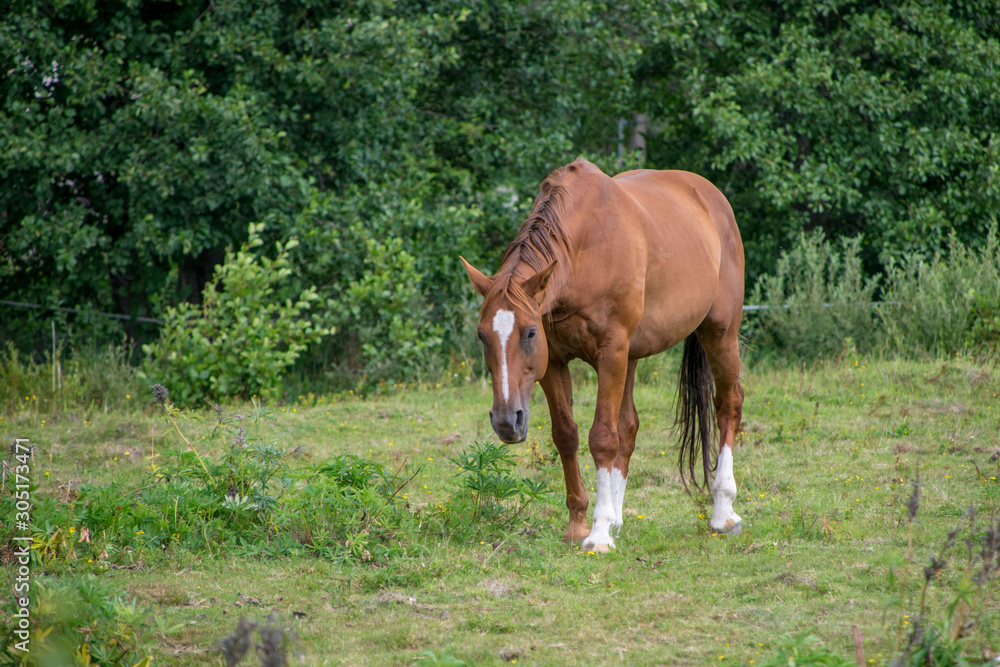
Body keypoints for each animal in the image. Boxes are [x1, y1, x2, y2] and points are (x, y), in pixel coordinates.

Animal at [460, 158, 745, 552]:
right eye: (482, 335)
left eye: (530, 332)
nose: (507, 421)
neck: (584, 250)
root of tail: (713, 197)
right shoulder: (554, 363)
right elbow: (567, 435)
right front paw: (580, 524)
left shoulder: (611, 354)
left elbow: (602, 439)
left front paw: (597, 535)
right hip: (633, 356)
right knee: (629, 427)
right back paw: (618, 518)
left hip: (720, 334)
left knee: (728, 406)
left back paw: (723, 512)